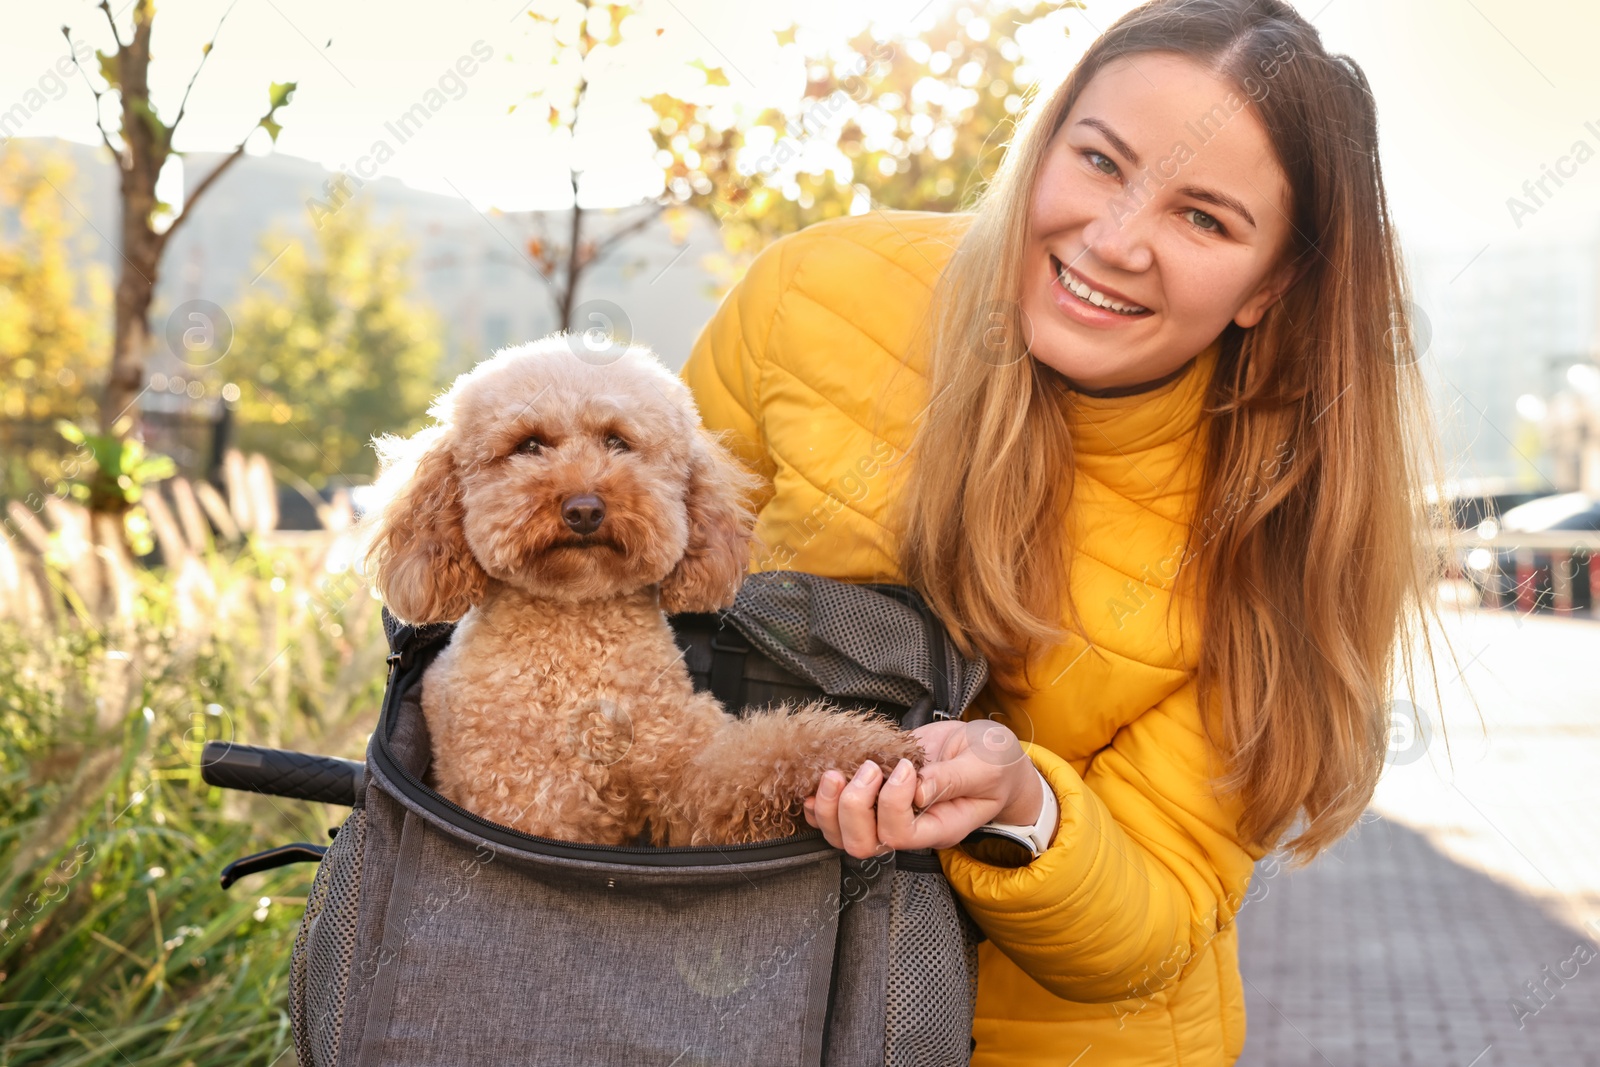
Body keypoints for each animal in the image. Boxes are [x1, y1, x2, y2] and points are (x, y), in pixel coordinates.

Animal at [358, 337, 921, 844]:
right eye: (529, 446)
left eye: (617, 441)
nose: (584, 509)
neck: (580, 632)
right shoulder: (529, 804)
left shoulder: (685, 767)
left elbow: (766, 753)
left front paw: (870, 753)